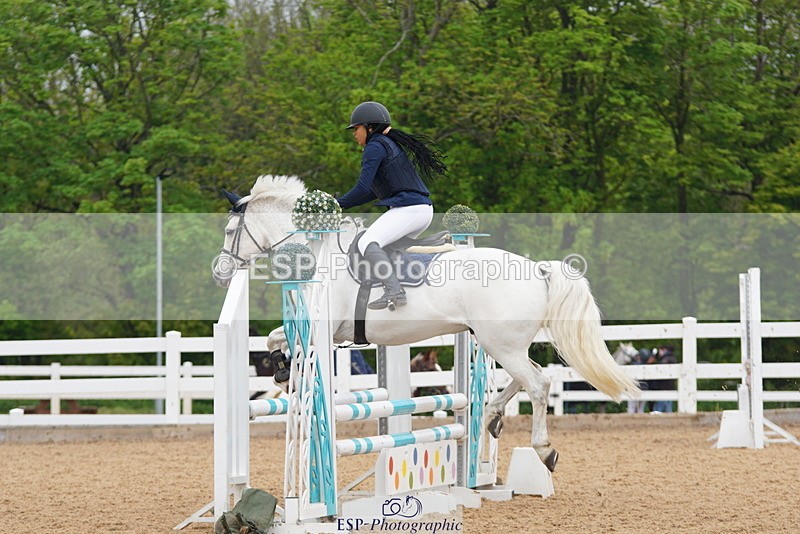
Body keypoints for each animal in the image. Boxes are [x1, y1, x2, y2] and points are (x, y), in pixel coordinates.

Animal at [212, 175, 640, 472]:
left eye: (231, 232)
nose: (220, 272)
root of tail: (536, 268)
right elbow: (273, 339)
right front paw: (283, 370)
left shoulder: (325, 326)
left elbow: (274, 338)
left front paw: (282, 370)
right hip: (501, 343)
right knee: (530, 376)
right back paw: (490, 417)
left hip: (501, 344)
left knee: (537, 384)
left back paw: (543, 449)